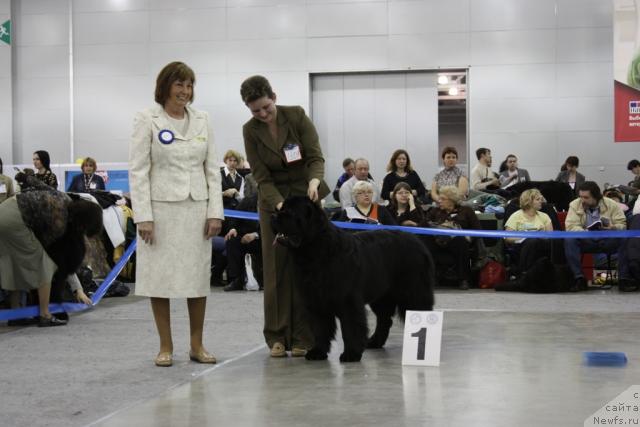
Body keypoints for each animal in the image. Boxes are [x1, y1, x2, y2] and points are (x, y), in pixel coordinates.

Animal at [270, 196, 436, 362]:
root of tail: (418, 242)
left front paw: (351, 354)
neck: (316, 251)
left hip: (413, 292)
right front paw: (318, 352)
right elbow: (319, 327)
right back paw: (374, 342)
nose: (273, 216)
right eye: (281, 208)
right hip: (381, 295)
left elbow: (351, 326)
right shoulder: (315, 299)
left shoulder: (348, 299)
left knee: (421, 314)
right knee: (384, 319)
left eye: (291, 212)